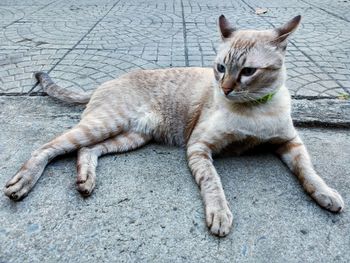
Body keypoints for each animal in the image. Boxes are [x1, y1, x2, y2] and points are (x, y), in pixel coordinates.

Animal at [3, 14, 344, 237]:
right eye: (221, 67)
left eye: (248, 71)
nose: (225, 89)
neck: (254, 110)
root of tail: (107, 80)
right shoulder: (199, 147)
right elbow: (213, 183)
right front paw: (220, 213)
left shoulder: (290, 143)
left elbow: (309, 172)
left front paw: (326, 194)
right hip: (106, 124)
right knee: (47, 148)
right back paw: (22, 183)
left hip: (130, 136)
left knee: (86, 151)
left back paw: (86, 180)